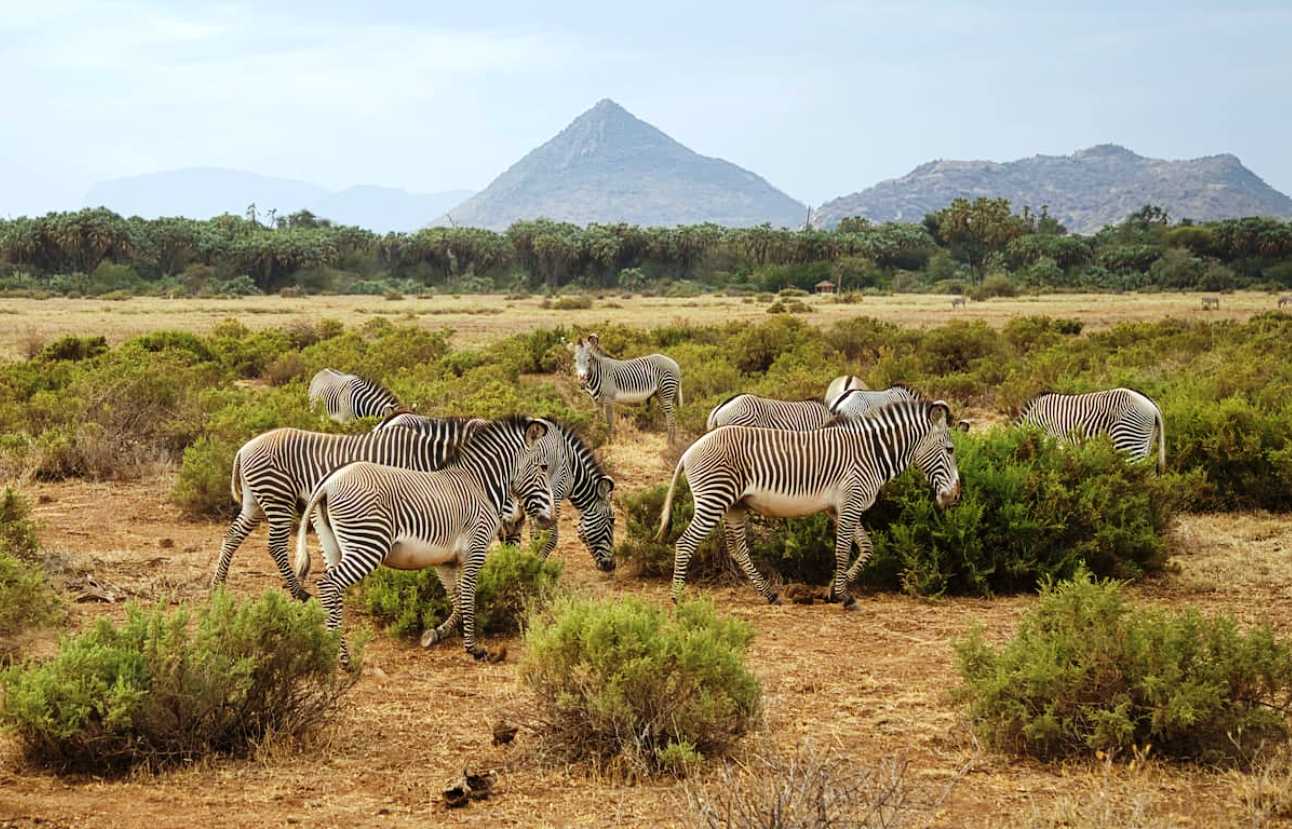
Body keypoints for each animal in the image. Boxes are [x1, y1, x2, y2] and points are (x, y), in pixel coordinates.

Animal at [213, 415, 485, 596]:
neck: (422, 454)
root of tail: (244, 448)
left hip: (255, 502)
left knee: (232, 535)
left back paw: (218, 583)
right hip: (277, 496)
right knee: (275, 545)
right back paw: (298, 592)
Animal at [297, 415, 560, 661]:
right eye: (543, 467)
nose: (550, 518)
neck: (479, 485)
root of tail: (329, 482)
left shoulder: (444, 561)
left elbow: (457, 599)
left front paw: (436, 633)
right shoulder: (475, 550)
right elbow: (469, 597)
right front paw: (473, 649)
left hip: (332, 546)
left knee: (335, 593)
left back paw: (337, 653)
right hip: (368, 544)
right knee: (328, 585)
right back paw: (340, 658)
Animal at [377, 410, 617, 565]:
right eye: (612, 521)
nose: (611, 566)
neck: (569, 462)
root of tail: (387, 421)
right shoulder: (552, 494)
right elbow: (549, 537)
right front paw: (536, 564)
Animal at [656, 397, 961, 604]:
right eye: (950, 449)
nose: (955, 496)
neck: (871, 454)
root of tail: (691, 449)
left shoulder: (840, 509)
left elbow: (866, 548)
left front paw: (834, 590)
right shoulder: (850, 503)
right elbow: (842, 550)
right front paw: (843, 596)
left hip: (734, 505)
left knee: (737, 549)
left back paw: (769, 594)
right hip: (715, 498)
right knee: (686, 543)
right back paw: (677, 598)